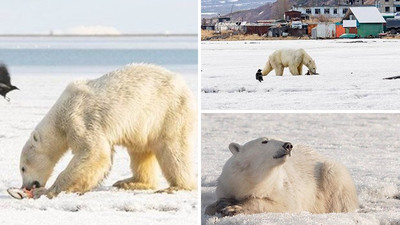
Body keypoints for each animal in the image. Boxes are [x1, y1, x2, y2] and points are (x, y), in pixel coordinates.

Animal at [18, 63, 197, 199]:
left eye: (23, 168)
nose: (25, 186)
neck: (61, 113)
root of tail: (184, 86)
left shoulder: (80, 119)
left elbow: (93, 152)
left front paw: (49, 191)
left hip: (168, 112)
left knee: (173, 150)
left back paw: (176, 187)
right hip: (144, 125)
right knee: (140, 151)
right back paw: (129, 182)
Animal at [205, 137, 358, 216]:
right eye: (264, 141)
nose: (288, 145)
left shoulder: (280, 188)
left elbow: (283, 205)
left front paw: (234, 208)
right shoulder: (229, 183)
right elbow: (217, 201)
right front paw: (219, 205)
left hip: (329, 172)